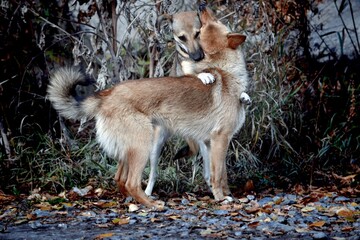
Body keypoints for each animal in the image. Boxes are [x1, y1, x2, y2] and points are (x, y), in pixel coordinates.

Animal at [47, 6, 248, 208]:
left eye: (207, 25)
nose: (202, 7)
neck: (225, 71)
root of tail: (107, 95)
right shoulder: (220, 139)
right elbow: (218, 175)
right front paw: (221, 198)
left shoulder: (211, 143)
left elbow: (220, 174)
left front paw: (227, 194)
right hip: (144, 146)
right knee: (132, 182)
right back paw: (151, 204)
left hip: (132, 149)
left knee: (120, 178)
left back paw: (135, 201)